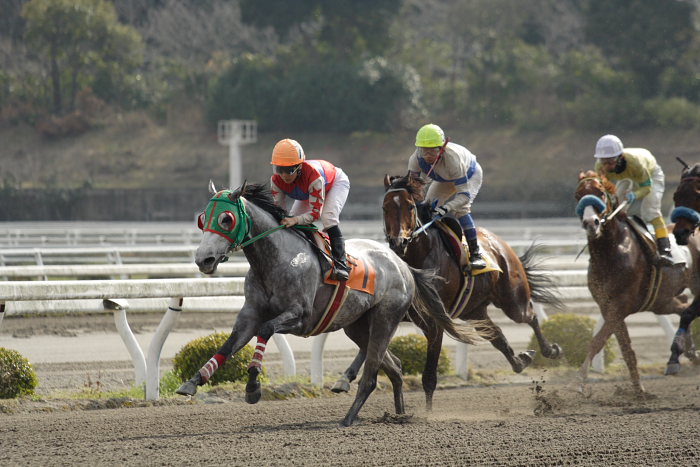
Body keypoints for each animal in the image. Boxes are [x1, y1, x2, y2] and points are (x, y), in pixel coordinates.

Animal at [175, 183, 484, 428]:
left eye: (226, 219)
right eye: (203, 219)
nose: (203, 259)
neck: (276, 259)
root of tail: (402, 264)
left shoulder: (300, 317)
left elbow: (265, 330)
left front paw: (252, 387)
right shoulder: (250, 314)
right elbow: (228, 345)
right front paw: (193, 382)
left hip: (385, 318)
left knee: (372, 375)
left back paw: (348, 418)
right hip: (358, 327)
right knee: (394, 367)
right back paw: (399, 415)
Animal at [334, 175, 564, 410]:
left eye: (410, 206)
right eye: (385, 207)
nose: (398, 242)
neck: (419, 255)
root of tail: (499, 243)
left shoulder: (434, 322)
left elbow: (428, 376)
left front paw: (428, 412)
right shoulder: (395, 311)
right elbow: (369, 347)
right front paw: (345, 378)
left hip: (512, 299)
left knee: (530, 316)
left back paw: (550, 350)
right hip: (474, 310)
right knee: (496, 335)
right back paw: (521, 360)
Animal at [576, 171, 696, 392]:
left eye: (600, 193)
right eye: (577, 195)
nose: (591, 223)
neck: (610, 253)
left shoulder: (621, 305)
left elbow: (597, 341)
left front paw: (579, 381)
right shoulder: (607, 306)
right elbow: (624, 348)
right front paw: (638, 389)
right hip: (661, 301)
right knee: (684, 308)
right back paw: (688, 354)